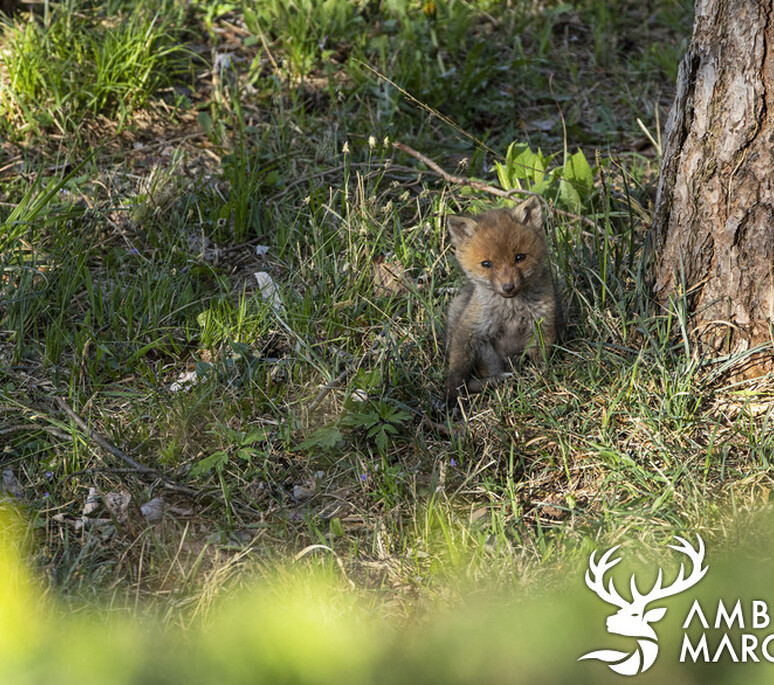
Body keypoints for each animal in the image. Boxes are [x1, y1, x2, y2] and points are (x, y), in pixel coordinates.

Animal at [444, 196, 561, 407]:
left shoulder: (542, 325)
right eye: (486, 264)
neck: (511, 313)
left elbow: (541, 362)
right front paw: (451, 396)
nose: (508, 287)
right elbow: (457, 368)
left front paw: (541, 381)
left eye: (520, 257)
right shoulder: (470, 329)